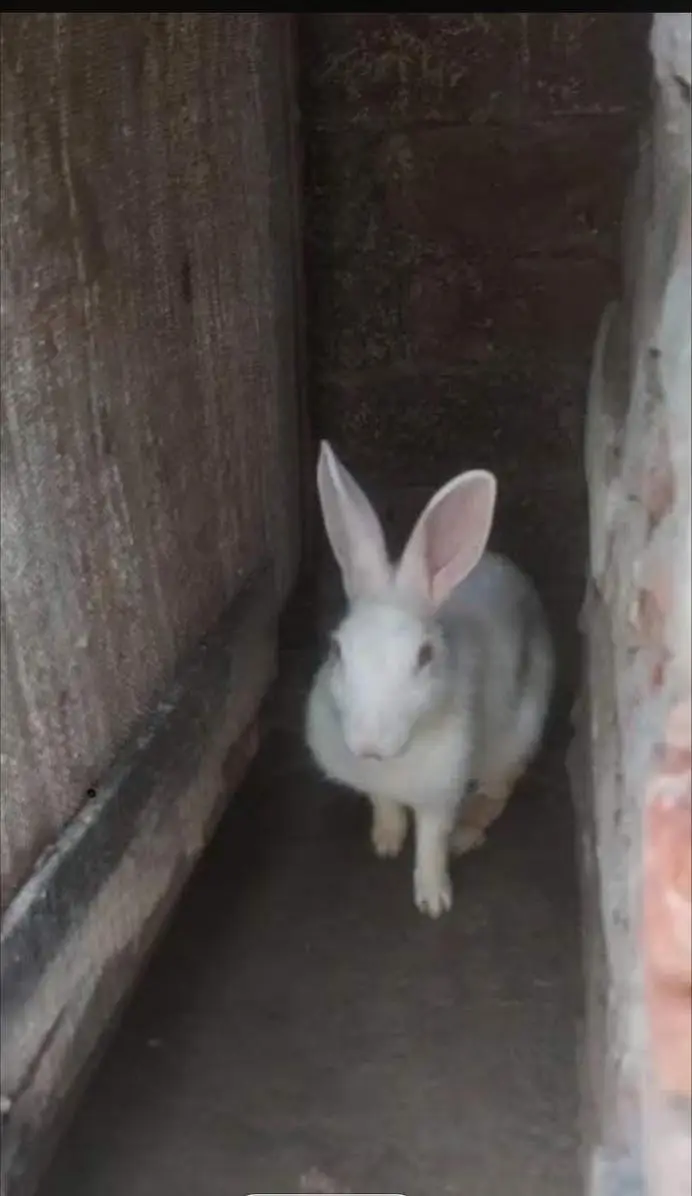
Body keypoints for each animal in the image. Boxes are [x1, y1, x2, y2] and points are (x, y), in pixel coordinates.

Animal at [305, 441, 555, 918]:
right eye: (336, 649)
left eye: (424, 656)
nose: (369, 746)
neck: (392, 763)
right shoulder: (376, 786)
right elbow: (384, 806)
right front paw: (385, 842)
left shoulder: (441, 793)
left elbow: (432, 844)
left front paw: (434, 900)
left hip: (518, 735)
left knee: (498, 790)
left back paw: (466, 834)